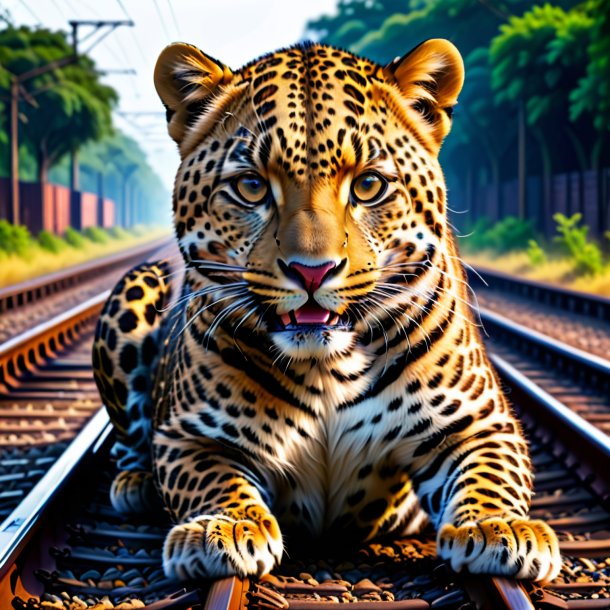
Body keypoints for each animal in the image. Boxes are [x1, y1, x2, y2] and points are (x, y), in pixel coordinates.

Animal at [91, 39, 560, 584]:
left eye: (369, 185)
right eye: (251, 186)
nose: (311, 272)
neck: (327, 366)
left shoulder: (481, 421)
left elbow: (490, 476)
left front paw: (501, 528)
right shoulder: (190, 433)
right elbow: (213, 479)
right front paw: (223, 528)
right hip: (138, 282)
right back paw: (135, 484)